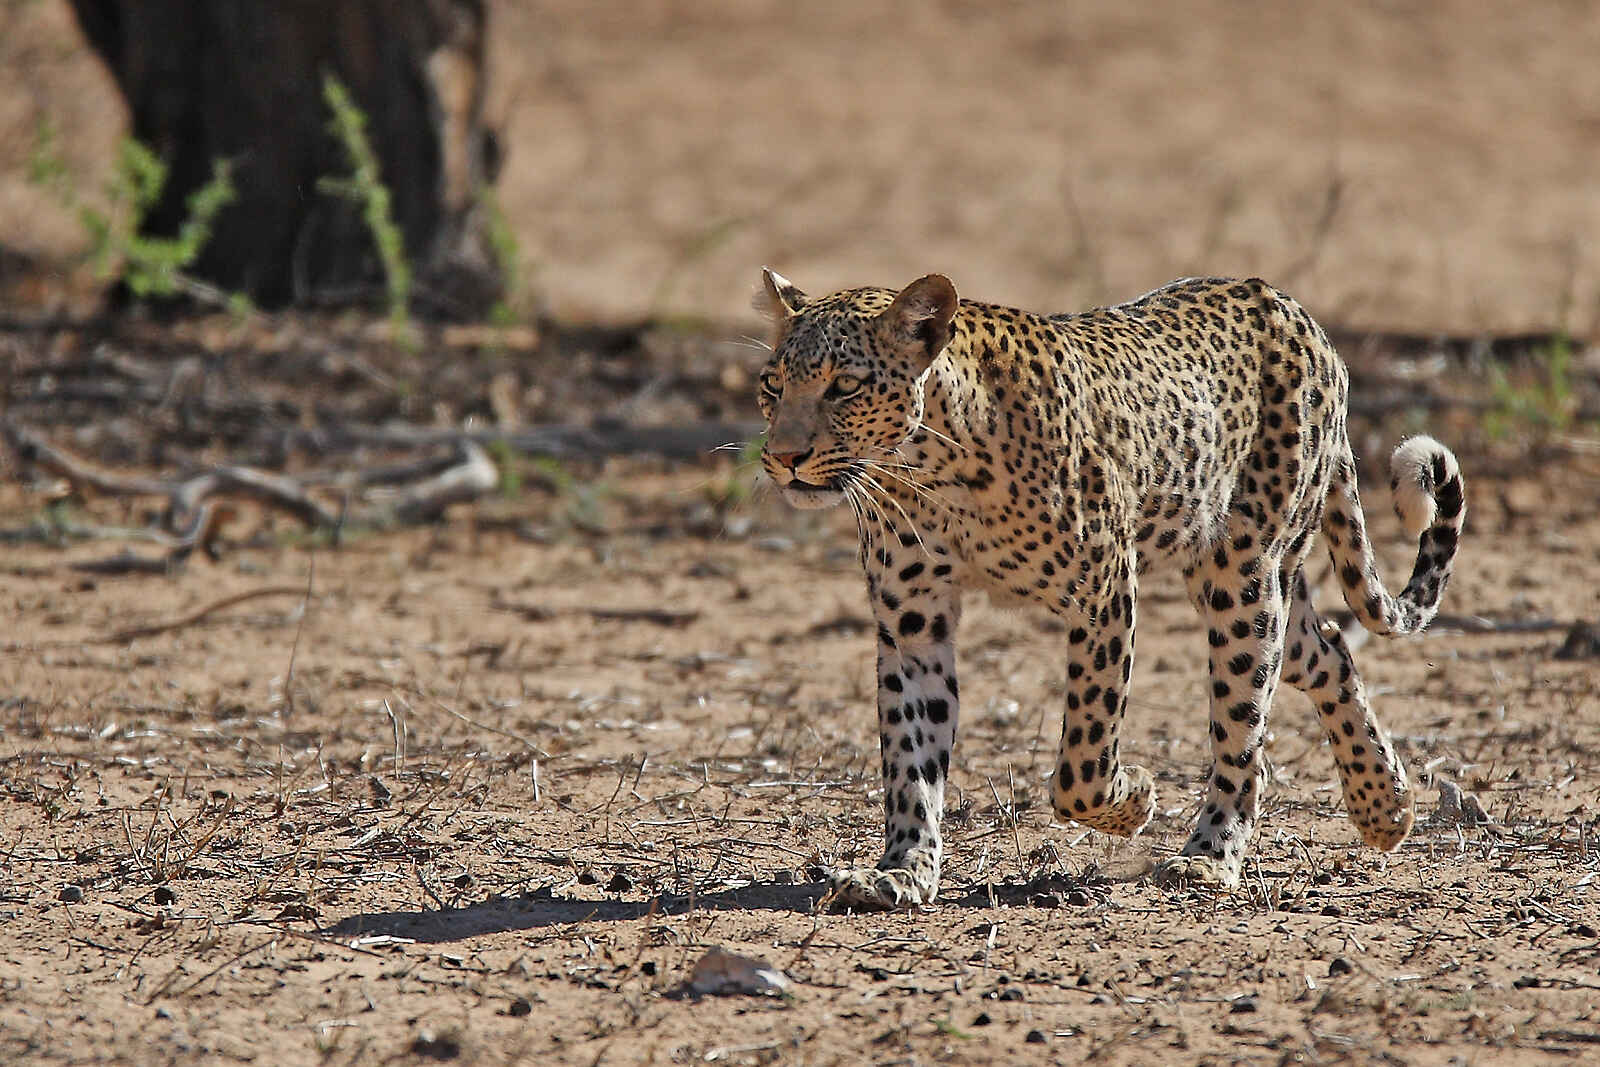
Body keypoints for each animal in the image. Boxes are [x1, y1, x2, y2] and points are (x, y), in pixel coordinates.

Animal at [753, 268, 1465, 909]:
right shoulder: (911, 624)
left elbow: (1083, 758)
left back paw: (1212, 855)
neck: (930, 472)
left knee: (1244, 731)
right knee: (1329, 649)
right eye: (772, 386)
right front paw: (903, 869)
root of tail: (1297, 312)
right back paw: (1386, 806)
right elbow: (911, 753)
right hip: (1252, 590)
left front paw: (1136, 797)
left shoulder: (1104, 588)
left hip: (1244, 576)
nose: (783, 458)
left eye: (845, 387)